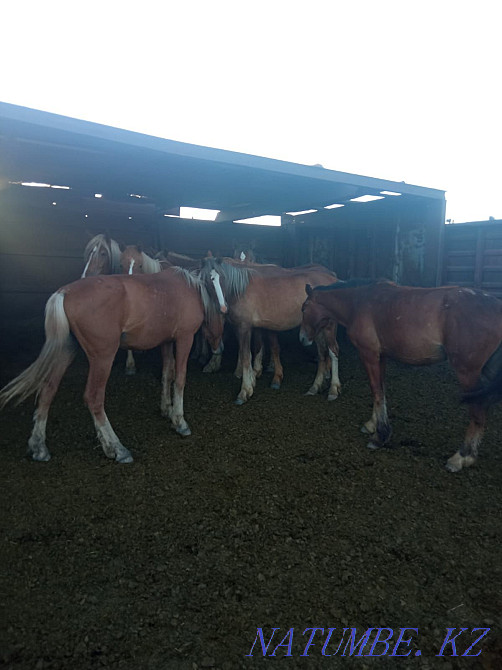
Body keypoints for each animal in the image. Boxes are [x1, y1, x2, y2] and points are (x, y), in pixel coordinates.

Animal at [0, 267, 221, 463]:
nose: (218, 349)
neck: (190, 289)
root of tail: (64, 292)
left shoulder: (166, 342)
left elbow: (167, 374)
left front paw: (166, 409)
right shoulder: (184, 338)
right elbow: (180, 379)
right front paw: (179, 421)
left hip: (65, 350)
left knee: (47, 390)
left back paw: (39, 447)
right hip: (103, 357)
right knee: (93, 398)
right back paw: (117, 448)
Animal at [200, 257, 341, 404]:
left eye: (222, 278)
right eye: (206, 281)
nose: (223, 308)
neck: (240, 290)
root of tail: (332, 278)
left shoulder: (244, 327)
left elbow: (246, 356)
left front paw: (244, 391)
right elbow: (257, 349)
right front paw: (253, 380)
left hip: (329, 327)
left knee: (333, 351)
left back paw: (333, 389)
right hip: (317, 329)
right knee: (322, 353)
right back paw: (316, 386)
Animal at [299, 278, 502, 472]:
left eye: (304, 308)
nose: (302, 338)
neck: (359, 303)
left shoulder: (369, 355)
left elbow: (376, 391)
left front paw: (380, 436)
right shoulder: (381, 356)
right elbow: (381, 392)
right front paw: (373, 425)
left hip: (467, 372)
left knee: (478, 408)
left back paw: (462, 457)